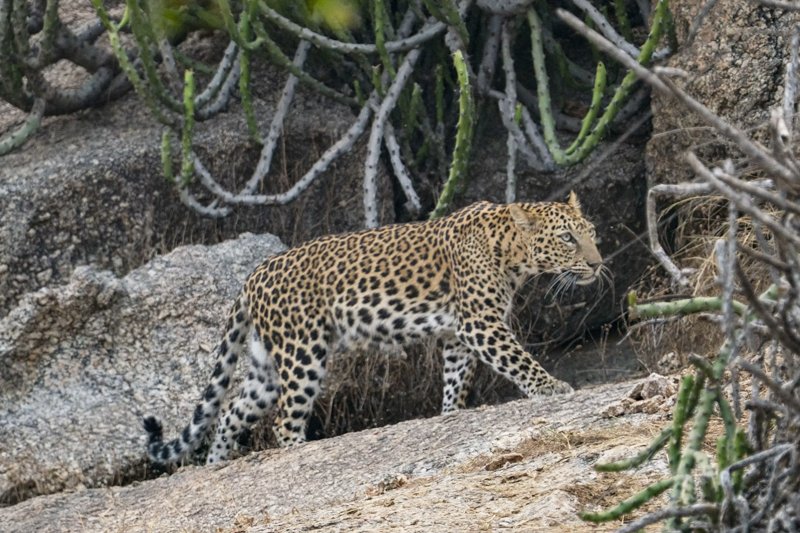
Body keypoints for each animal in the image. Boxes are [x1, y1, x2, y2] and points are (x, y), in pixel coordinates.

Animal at [144, 192, 605, 466]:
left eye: (593, 233)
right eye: (567, 237)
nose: (598, 264)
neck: (512, 253)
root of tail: (252, 276)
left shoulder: (458, 334)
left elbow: (456, 380)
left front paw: (450, 415)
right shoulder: (481, 324)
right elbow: (518, 360)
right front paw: (551, 388)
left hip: (265, 366)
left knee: (230, 413)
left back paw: (216, 465)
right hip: (302, 351)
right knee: (285, 419)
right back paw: (300, 453)